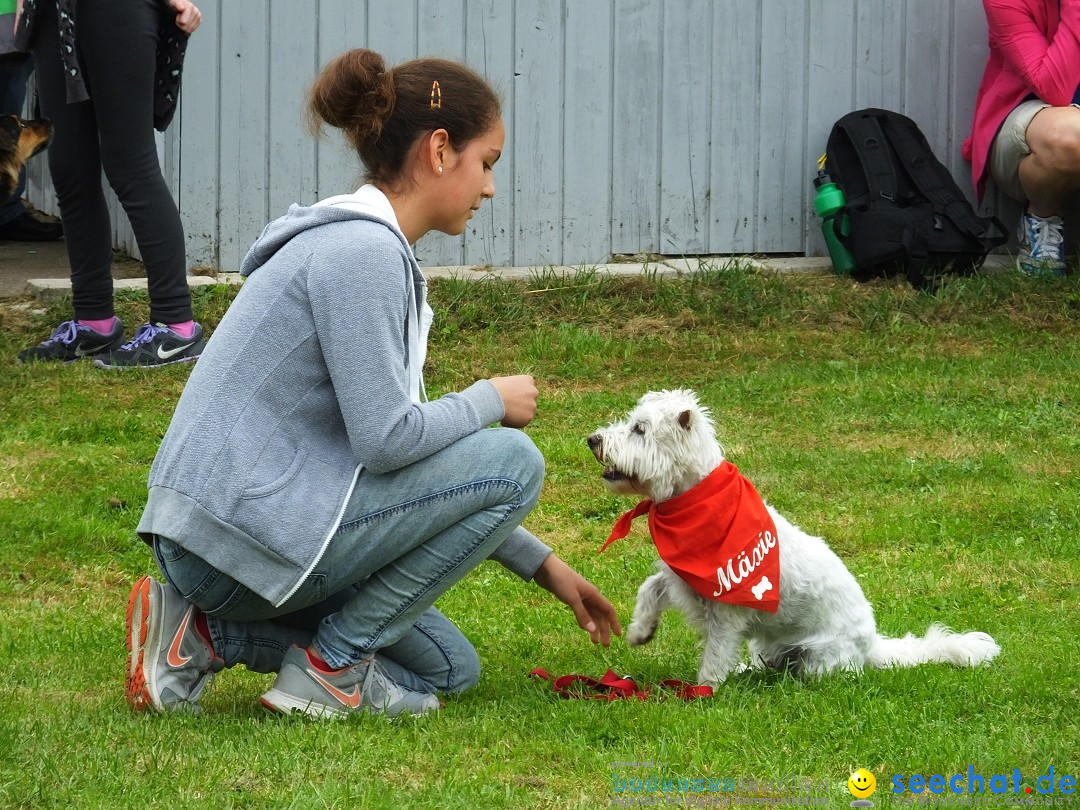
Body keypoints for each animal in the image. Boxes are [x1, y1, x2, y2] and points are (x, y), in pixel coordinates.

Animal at [587, 390, 997, 686]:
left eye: (640, 429)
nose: (593, 439)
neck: (693, 503)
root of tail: (872, 646)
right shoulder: (679, 578)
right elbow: (649, 587)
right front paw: (641, 631)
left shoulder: (726, 611)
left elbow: (715, 655)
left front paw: (704, 691)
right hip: (767, 644)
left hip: (816, 658)